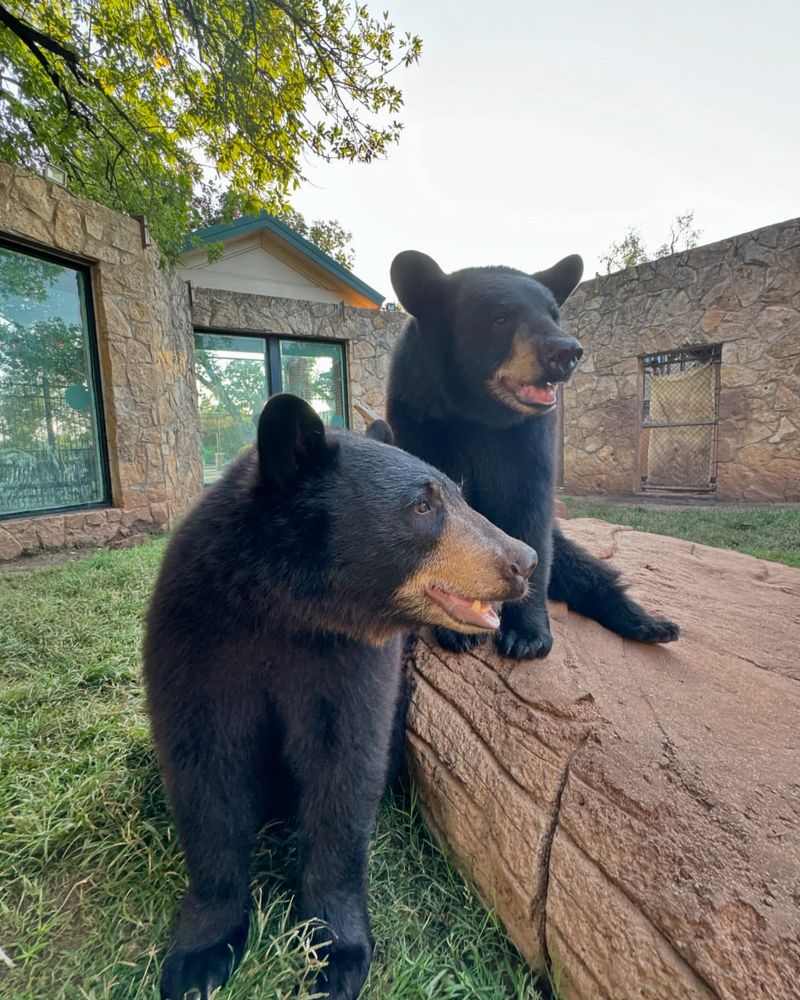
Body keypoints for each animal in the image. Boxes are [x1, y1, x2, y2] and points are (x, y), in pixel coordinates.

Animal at [145, 392, 536, 1000]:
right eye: (422, 506)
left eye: (459, 494)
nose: (524, 560)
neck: (288, 611)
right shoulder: (197, 639)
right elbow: (206, 773)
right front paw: (200, 956)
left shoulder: (349, 662)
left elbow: (344, 771)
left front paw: (336, 955)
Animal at [384, 249, 680, 660]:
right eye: (501, 317)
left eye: (553, 314)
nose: (566, 351)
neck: (479, 414)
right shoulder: (421, 421)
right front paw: (458, 629)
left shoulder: (530, 440)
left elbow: (530, 515)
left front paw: (526, 636)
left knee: (581, 567)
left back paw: (651, 624)